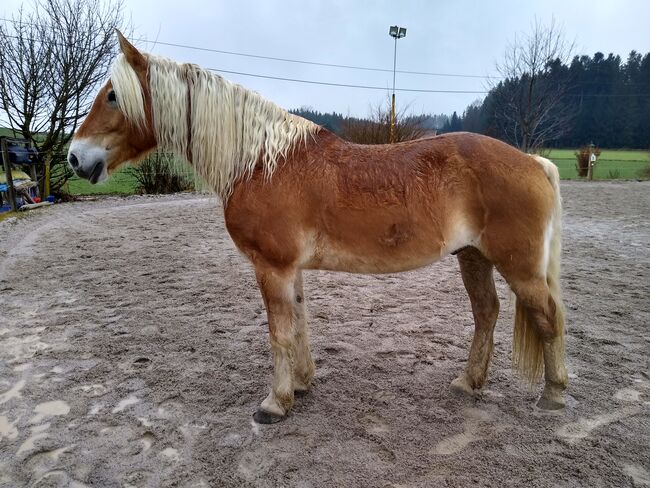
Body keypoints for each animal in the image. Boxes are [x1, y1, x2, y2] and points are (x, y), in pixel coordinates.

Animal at [68, 32, 568, 424]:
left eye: (113, 95)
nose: (75, 157)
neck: (260, 162)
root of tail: (533, 162)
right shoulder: (290, 270)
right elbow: (300, 322)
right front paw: (303, 384)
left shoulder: (271, 267)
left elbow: (279, 332)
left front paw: (275, 403)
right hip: (474, 258)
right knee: (487, 313)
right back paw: (468, 382)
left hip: (519, 267)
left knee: (548, 317)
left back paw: (553, 396)